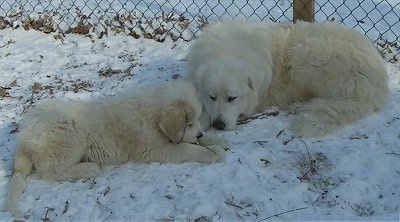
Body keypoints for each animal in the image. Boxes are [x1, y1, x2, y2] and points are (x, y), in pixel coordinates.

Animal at [6, 79, 227, 217]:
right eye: (188, 123)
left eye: (196, 120)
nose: (199, 134)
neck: (152, 116)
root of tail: (25, 135)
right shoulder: (152, 149)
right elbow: (186, 148)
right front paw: (212, 153)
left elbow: (193, 143)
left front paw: (218, 142)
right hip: (68, 136)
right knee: (49, 171)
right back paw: (88, 168)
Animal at [186, 20, 390, 136]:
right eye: (211, 97)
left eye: (232, 98)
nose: (218, 125)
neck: (227, 50)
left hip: (304, 58)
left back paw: (300, 106)